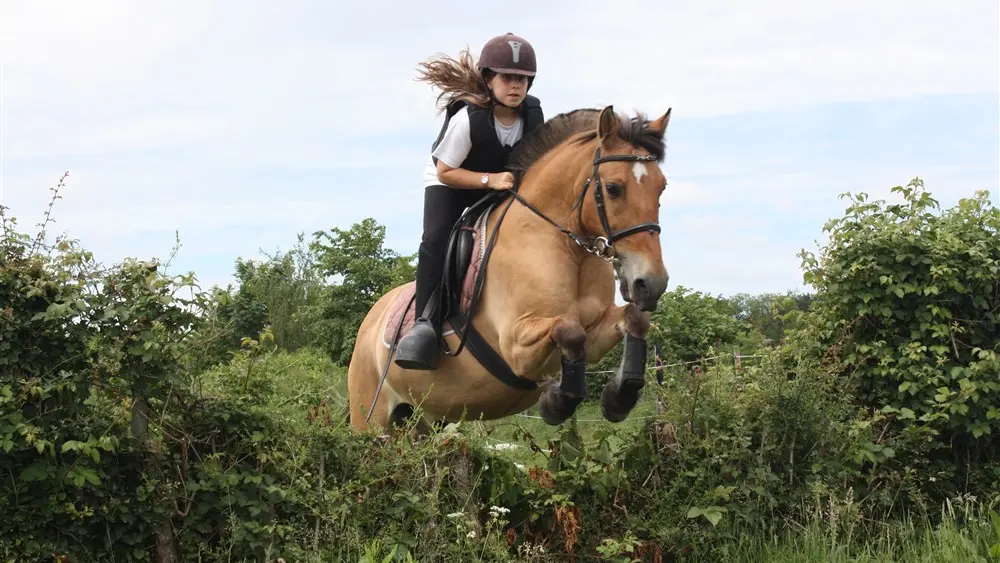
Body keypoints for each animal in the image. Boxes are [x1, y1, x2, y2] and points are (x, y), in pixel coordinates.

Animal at [344, 103, 672, 434]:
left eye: (662, 188)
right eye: (613, 188)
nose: (651, 284)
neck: (564, 246)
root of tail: (369, 322)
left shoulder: (594, 336)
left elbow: (634, 320)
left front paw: (619, 398)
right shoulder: (516, 346)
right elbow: (569, 330)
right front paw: (556, 402)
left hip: (420, 421)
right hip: (371, 419)